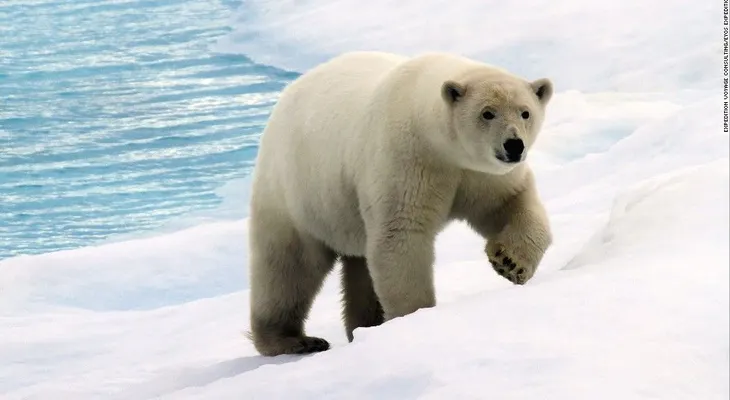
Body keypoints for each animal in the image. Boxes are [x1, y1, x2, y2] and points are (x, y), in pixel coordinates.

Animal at [247, 51, 554, 357]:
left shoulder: (480, 175)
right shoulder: (408, 158)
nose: (514, 145)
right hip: (295, 194)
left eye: (525, 112)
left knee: (359, 267)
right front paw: (415, 316)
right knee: (289, 266)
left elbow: (509, 203)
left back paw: (365, 324)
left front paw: (510, 263)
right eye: (487, 113)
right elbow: (401, 236)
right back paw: (293, 340)